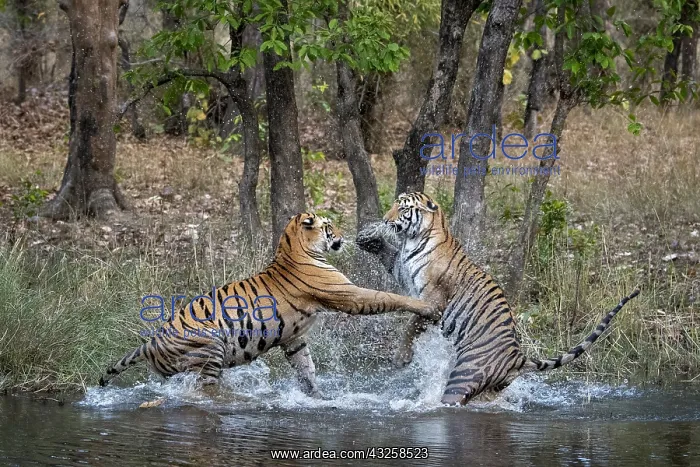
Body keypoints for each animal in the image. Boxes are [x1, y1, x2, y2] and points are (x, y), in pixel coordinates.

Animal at [99, 212, 438, 396]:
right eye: (329, 226)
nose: (343, 234)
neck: (292, 248)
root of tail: (150, 343)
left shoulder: (294, 337)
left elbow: (306, 369)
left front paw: (317, 396)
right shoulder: (349, 295)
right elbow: (386, 297)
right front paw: (425, 306)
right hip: (210, 352)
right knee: (206, 389)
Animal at [356, 192, 640, 405]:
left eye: (403, 208)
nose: (385, 219)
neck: (413, 240)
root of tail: (517, 357)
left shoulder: (434, 303)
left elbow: (412, 324)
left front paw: (401, 357)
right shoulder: (403, 271)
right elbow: (389, 256)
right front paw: (369, 240)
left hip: (463, 378)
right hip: (489, 389)